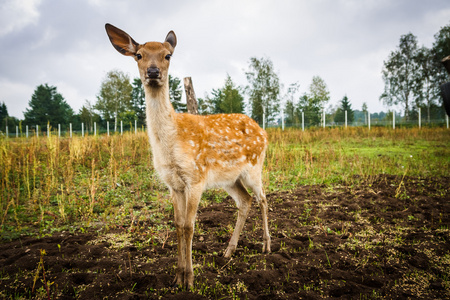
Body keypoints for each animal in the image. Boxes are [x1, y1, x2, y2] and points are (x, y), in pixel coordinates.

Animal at [104, 24, 270, 288]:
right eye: (139, 55)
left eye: (167, 55)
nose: (153, 72)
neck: (171, 144)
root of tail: (263, 131)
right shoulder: (174, 184)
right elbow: (178, 225)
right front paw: (177, 277)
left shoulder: (195, 178)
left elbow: (190, 226)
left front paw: (190, 280)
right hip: (229, 179)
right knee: (245, 201)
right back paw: (228, 251)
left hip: (255, 166)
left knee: (263, 199)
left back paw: (266, 246)